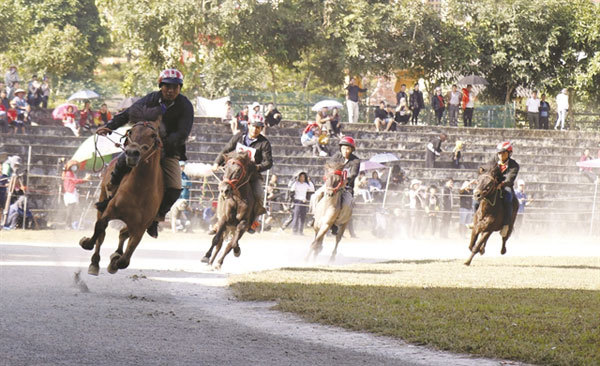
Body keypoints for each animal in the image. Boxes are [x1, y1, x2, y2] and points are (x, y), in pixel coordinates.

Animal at [79, 108, 165, 274]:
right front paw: (87, 243)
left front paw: (115, 260)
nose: (131, 153)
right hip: (102, 198)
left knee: (123, 234)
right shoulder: (110, 209)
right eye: (130, 131)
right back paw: (95, 262)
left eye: (153, 135)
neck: (139, 190)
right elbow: (100, 227)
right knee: (102, 235)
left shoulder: (140, 228)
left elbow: (124, 260)